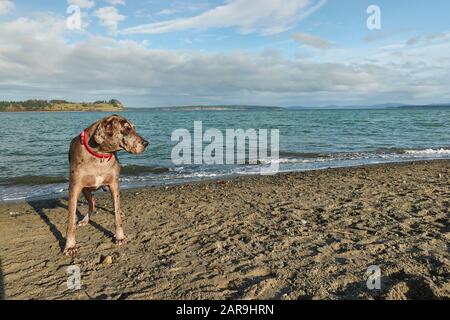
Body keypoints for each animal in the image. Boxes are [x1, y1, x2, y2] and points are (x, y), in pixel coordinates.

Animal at [63, 114, 149, 256]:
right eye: (126, 129)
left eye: (134, 128)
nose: (146, 143)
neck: (100, 155)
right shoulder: (74, 188)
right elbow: (70, 220)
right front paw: (70, 246)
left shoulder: (114, 184)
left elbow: (117, 215)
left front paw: (120, 237)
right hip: (85, 190)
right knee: (92, 204)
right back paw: (85, 220)